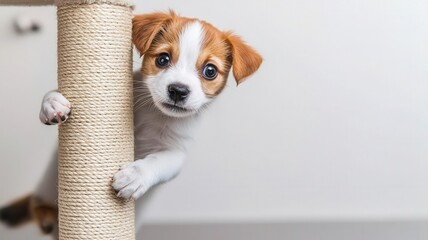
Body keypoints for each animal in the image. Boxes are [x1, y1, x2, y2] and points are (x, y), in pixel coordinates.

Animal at [0, 10, 260, 238]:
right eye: (163, 59)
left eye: (210, 71)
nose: (178, 90)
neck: (155, 114)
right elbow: (53, 92)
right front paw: (52, 102)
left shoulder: (176, 151)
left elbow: (158, 161)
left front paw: (136, 176)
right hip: (46, 184)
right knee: (36, 204)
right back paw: (44, 216)